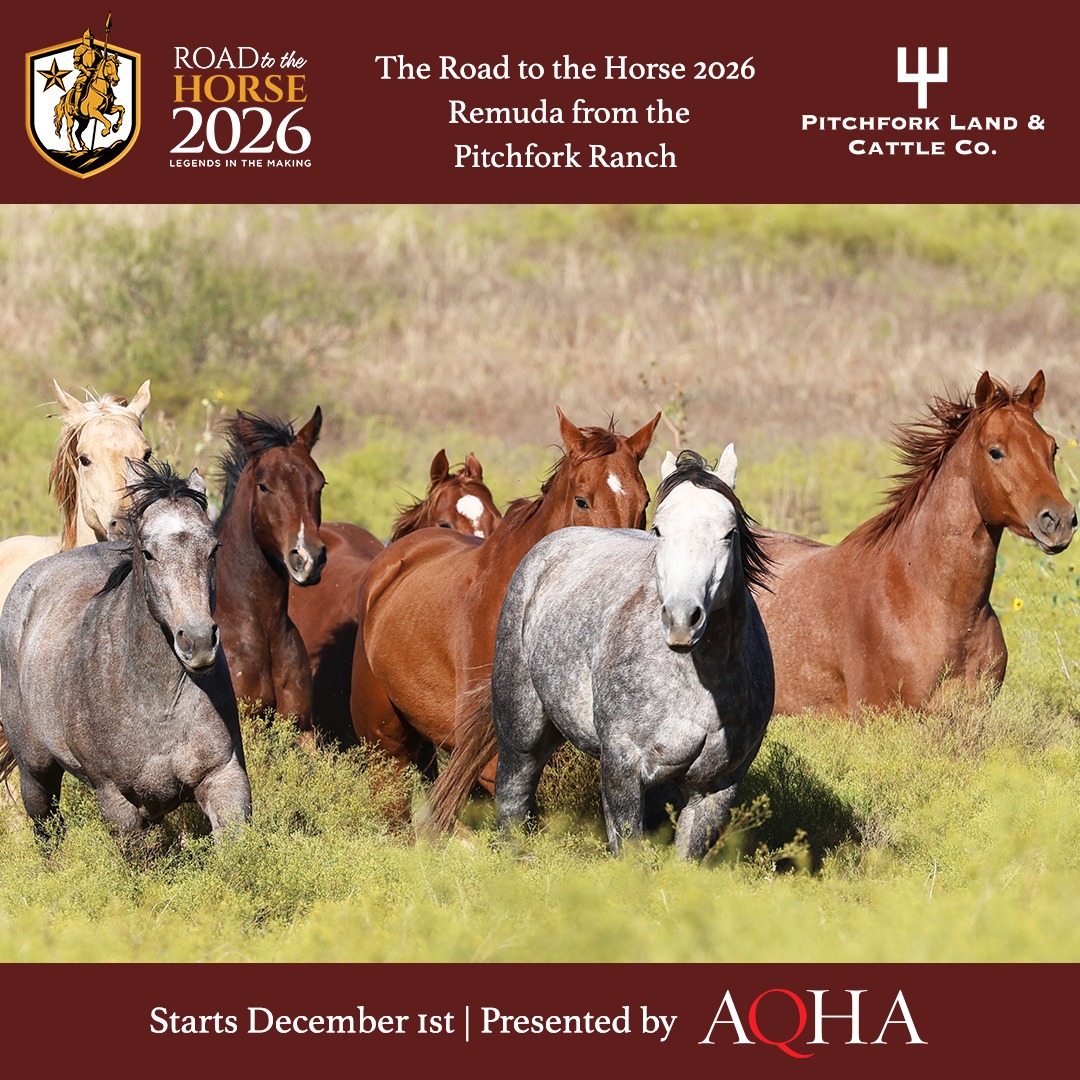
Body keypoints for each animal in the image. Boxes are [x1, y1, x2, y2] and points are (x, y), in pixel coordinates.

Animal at [0, 460, 250, 845]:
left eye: (213, 549)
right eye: (148, 552)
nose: (198, 642)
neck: (159, 705)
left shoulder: (223, 777)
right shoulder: (118, 802)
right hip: (36, 773)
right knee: (47, 830)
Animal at [491, 447, 774, 860]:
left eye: (729, 533)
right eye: (658, 531)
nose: (681, 619)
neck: (699, 685)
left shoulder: (715, 787)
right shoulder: (623, 769)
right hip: (521, 733)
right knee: (513, 798)